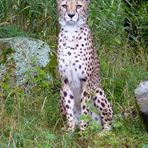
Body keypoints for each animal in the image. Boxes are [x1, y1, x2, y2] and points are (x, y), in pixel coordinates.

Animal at [56, 0, 112, 132]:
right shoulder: (65, 80)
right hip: (60, 93)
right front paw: (70, 130)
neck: (71, 33)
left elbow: (85, 107)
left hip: (98, 91)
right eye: (64, 6)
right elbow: (69, 108)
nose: (71, 15)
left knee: (108, 123)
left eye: (78, 6)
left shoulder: (86, 81)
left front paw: (83, 131)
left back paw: (101, 133)